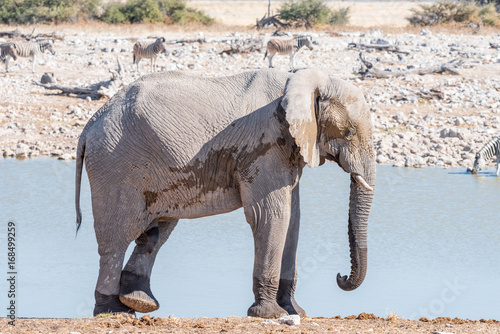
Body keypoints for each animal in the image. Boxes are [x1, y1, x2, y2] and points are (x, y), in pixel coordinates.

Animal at [75, 67, 376, 318]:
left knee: (155, 232)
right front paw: (269, 315)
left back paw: (139, 302)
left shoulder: (290, 148)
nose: (340, 277)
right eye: (349, 132)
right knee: (116, 238)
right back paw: (114, 311)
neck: (303, 79)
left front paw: (295, 312)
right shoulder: (266, 146)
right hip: (114, 163)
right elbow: (271, 215)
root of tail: (90, 125)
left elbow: (293, 219)